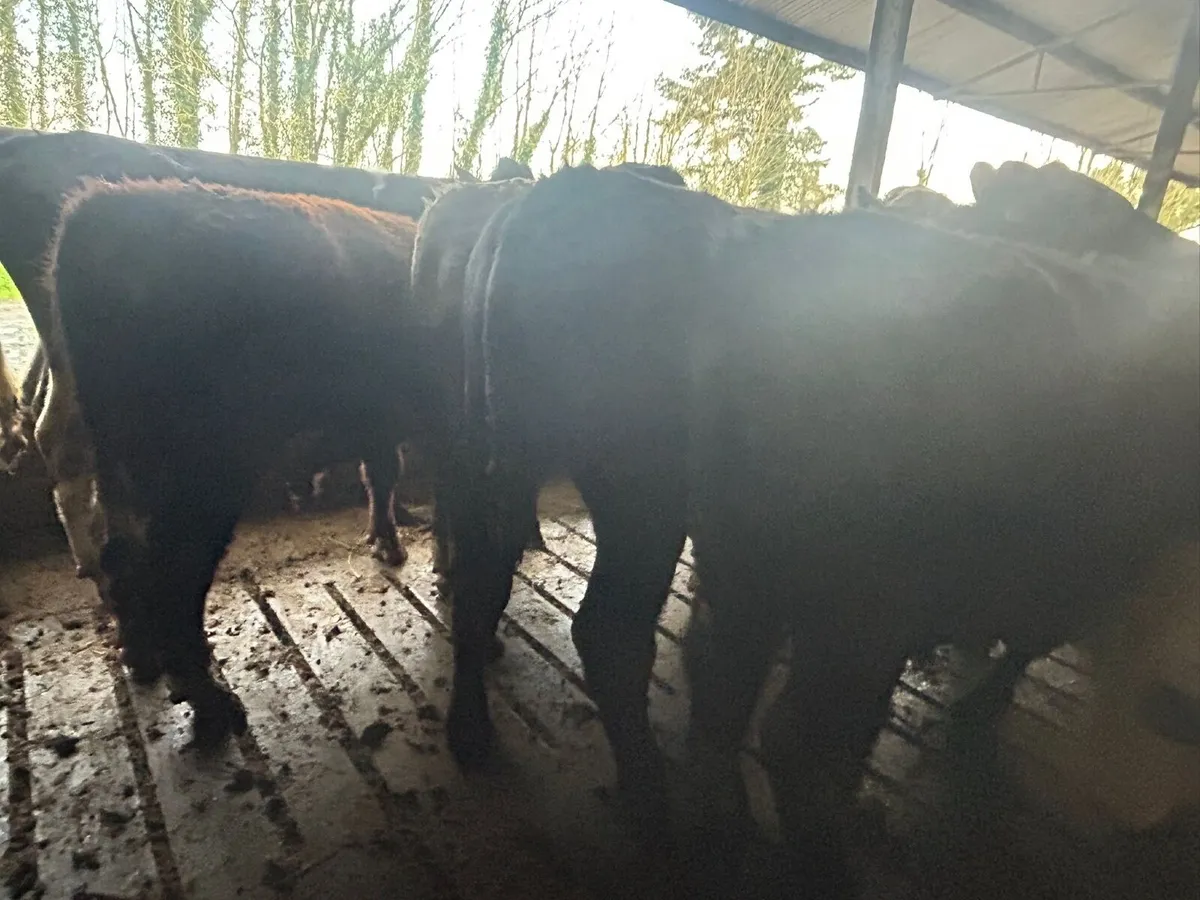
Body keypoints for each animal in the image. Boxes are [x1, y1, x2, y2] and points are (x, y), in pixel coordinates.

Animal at [47, 178, 427, 745]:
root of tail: (97, 212)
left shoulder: (380, 425)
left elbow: (380, 476)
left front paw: (386, 541)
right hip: (200, 482)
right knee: (171, 581)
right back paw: (211, 704)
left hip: (122, 468)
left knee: (123, 558)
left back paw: (142, 658)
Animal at [683, 209, 1199, 892]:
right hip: (859, 613)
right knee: (799, 743)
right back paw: (826, 868)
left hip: (745, 570)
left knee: (721, 688)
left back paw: (721, 835)